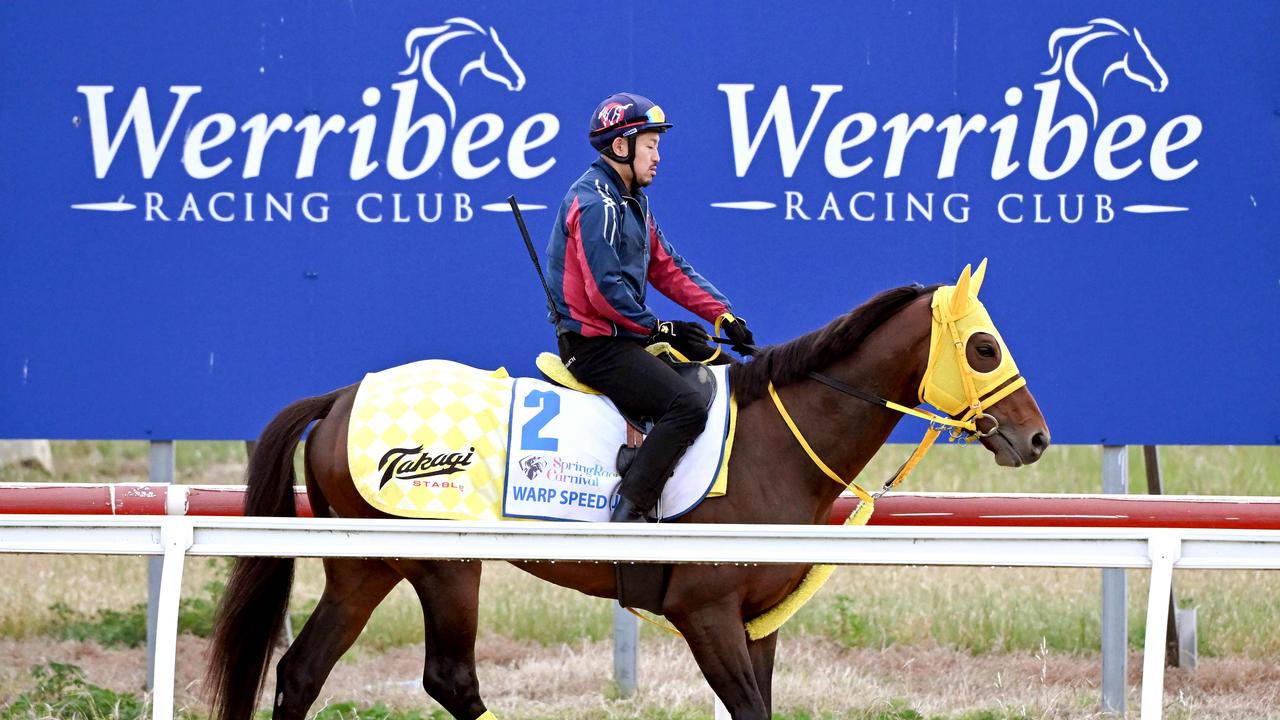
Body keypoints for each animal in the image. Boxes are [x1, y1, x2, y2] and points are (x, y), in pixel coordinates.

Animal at [207, 270, 1049, 717]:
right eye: (984, 347)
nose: (1036, 438)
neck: (774, 447)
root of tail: (343, 395)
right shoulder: (705, 613)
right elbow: (748, 707)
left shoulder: (759, 623)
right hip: (445, 565)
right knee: (448, 677)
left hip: (364, 566)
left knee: (301, 672)